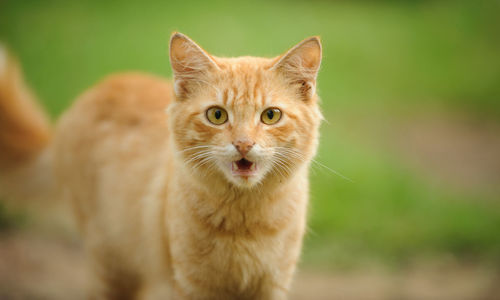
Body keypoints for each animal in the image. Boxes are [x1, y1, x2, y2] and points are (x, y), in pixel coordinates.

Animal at [0, 31, 320, 298]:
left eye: (270, 116)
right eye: (217, 115)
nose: (243, 144)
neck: (246, 218)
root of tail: (101, 87)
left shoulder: (273, 285)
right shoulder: (191, 285)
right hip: (111, 266)